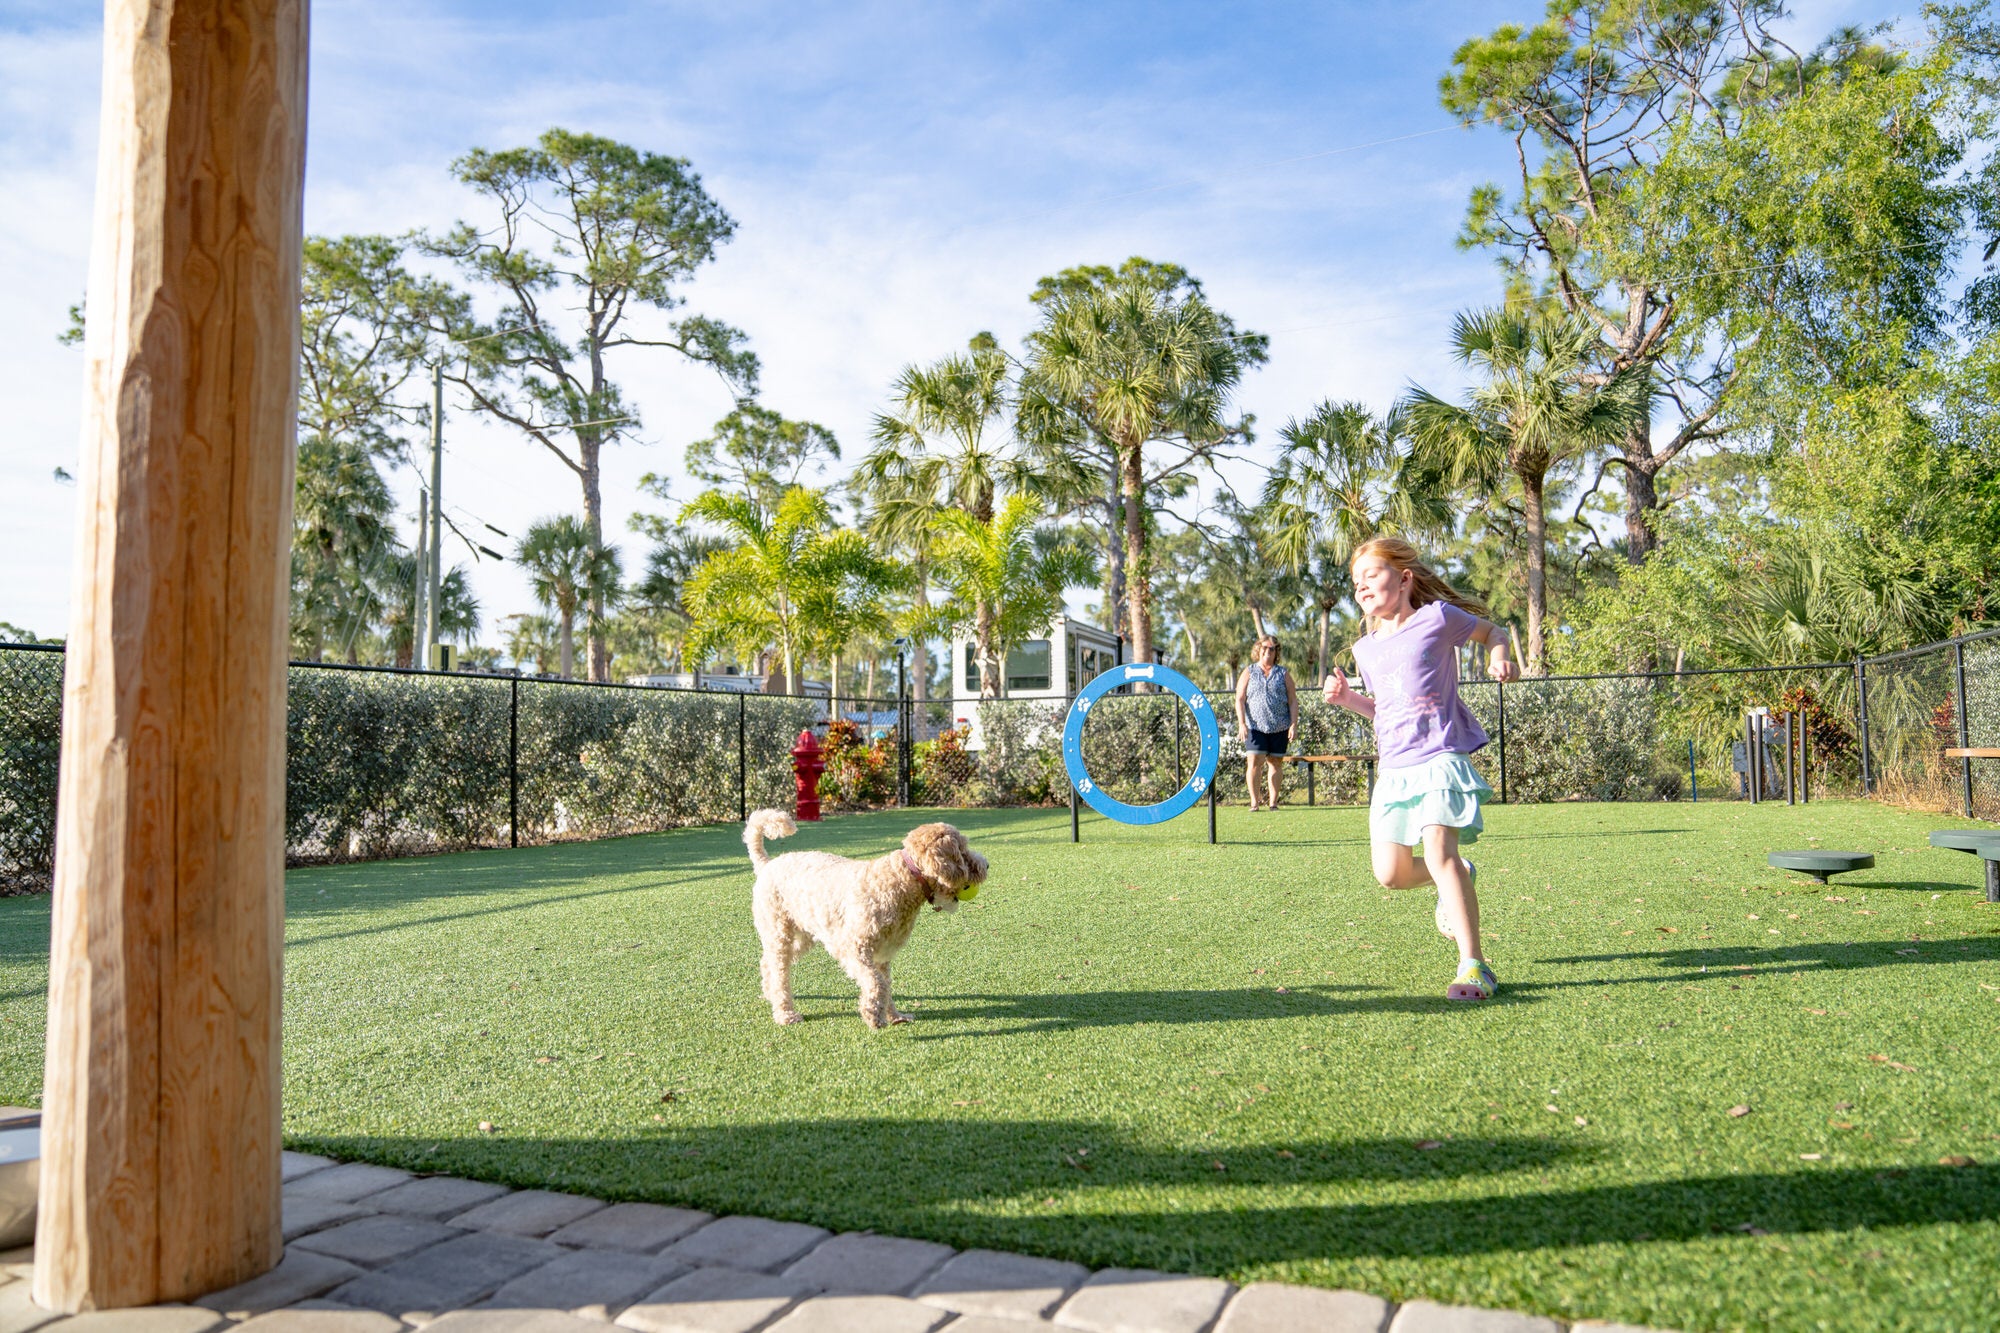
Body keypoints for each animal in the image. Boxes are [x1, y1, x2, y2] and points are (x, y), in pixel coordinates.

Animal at [744, 804, 992, 1020]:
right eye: (963, 850)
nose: (987, 865)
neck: (899, 880)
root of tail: (766, 864)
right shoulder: (853, 948)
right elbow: (876, 982)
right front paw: (873, 1015)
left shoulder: (882, 954)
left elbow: (886, 984)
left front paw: (895, 1016)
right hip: (778, 931)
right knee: (779, 972)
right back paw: (785, 1014)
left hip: (803, 935)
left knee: (767, 962)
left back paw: (769, 995)